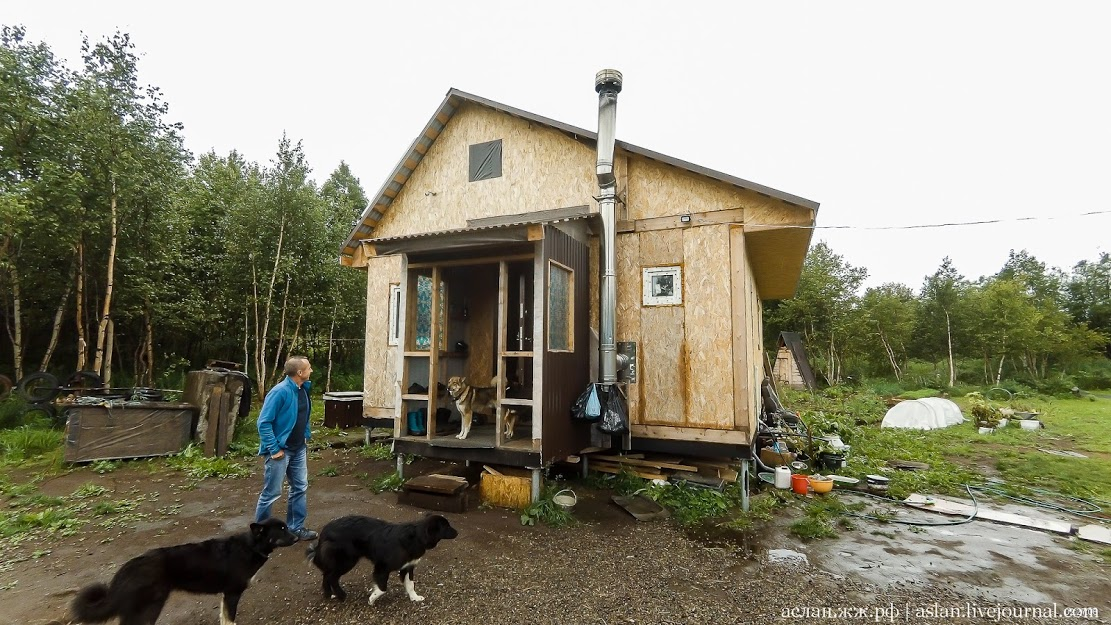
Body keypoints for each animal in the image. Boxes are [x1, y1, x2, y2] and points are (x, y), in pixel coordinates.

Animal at [71, 519, 297, 625]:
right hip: (150, 607)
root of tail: (128, 568)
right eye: (282, 529)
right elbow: (230, 619)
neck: (251, 547)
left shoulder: (226, 595)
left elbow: (223, 617)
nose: (298, 536)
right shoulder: (233, 594)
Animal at [306, 512, 457, 608]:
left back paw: (329, 595)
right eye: (446, 526)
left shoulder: (408, 567)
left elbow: (410, 584)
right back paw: (341, 595)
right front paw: (372, 598)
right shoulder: (382, 567)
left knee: (326, 574)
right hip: (347, 560)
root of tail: (325, 530)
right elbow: (383, 587)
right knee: (331, 576)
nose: (457, 532)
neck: (417, 537)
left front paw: (414, 597)